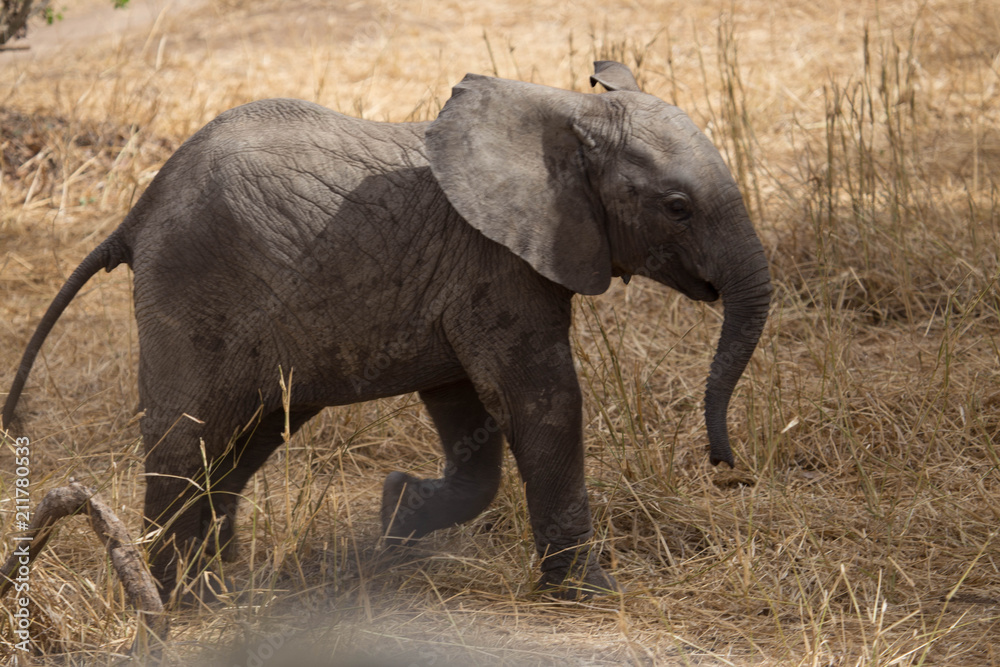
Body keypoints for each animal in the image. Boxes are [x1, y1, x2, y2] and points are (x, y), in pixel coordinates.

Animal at [2, 61, 771, 601]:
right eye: (677, 206)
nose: (726, 465)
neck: (560, 110)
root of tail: (137, 209)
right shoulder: (496, 266)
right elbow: (543, 402)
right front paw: (590, 594)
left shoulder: (463, 283)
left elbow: (468, 410)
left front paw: (395, 514)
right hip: (191, 288)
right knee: (186, 435)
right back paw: (175, 601)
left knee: (248, 434)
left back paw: (221, 585)